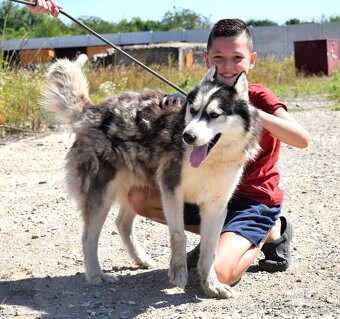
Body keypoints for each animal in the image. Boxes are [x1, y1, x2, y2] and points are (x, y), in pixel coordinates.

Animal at [41, 59, 262, 300]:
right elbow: (179, 236)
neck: (210, 161)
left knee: (122, 223)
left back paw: (140, 258)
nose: (187, 136)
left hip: (134, 188)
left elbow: (210, 250)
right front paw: (178, 273)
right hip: (102, 194)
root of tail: (92, 110)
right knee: (88, 237)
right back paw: (96, 274)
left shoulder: (216, 205)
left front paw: (211, 285)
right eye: (193, 111)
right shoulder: (171, 191)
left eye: (214, 115)